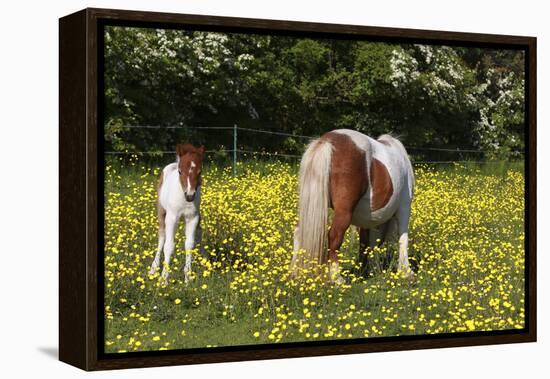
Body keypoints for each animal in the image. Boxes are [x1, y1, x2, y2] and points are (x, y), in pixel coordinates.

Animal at [149, 143, 205, 284]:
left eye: (200, 171)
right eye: (180, 172)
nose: (190, 196)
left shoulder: (193, 218)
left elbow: (189, 245)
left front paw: (188, 278)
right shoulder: (171, 218)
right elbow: (168, 245)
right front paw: (164, 279)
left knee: (199, 234)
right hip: (161, 212)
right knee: (161, 237)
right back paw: (153, 268)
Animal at [294, 129, 414, 284]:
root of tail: (327, 141)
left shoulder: (371, 218)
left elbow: (367, 243)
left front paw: (369, 269)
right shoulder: (404, 208)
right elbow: (402, 238)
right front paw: (406, 271)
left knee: (298, 231)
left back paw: (294, 272)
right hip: (344, 213)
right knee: (334, 236)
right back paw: (337, 278)